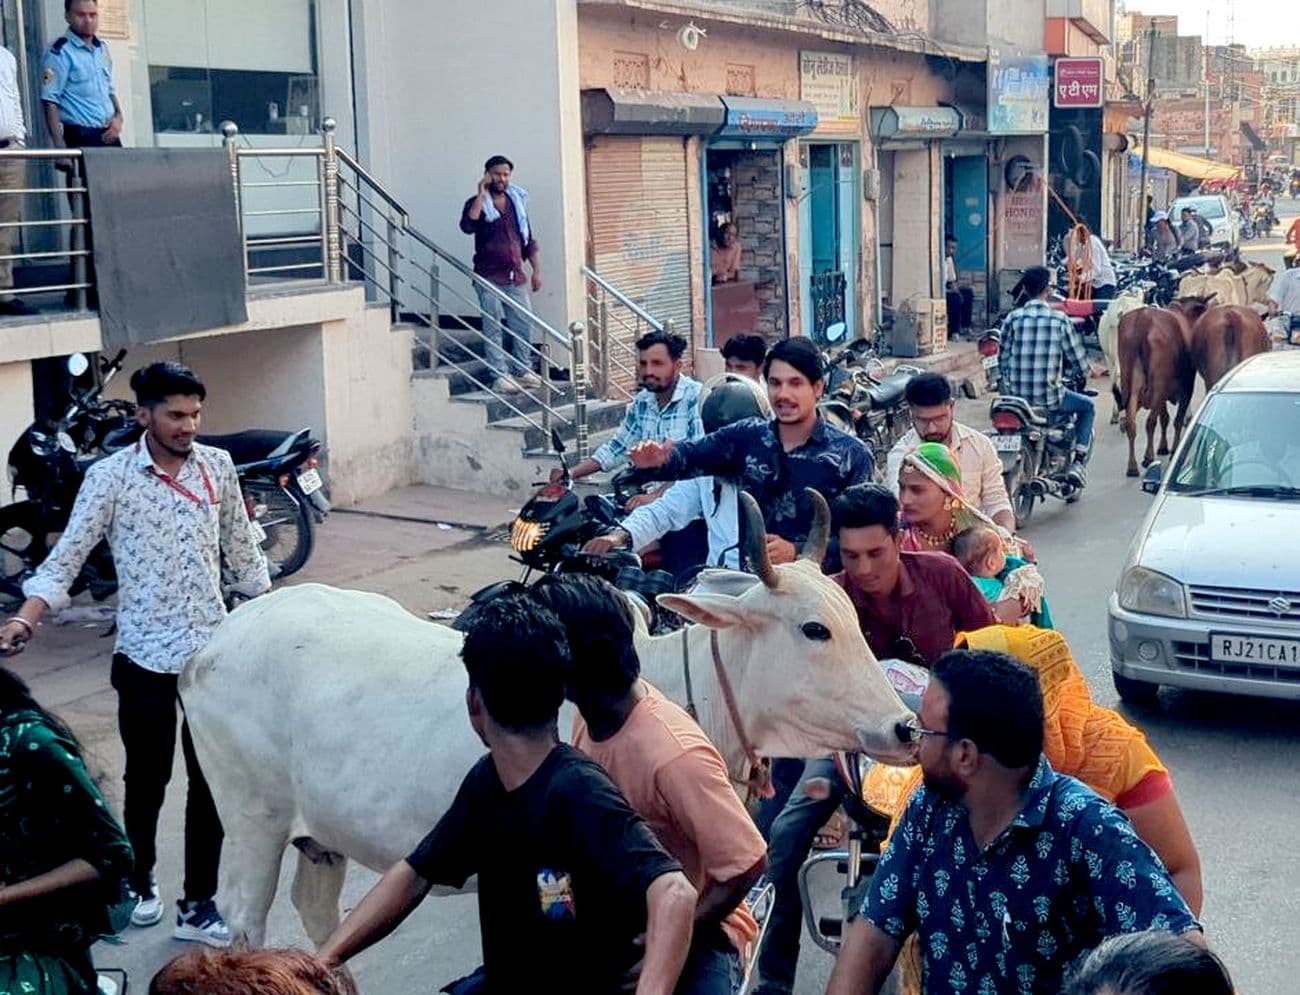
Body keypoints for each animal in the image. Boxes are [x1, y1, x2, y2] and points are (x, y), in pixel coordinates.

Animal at [180, 489, 915, 946]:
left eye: (852, 615)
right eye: (814, 628)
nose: (904, 728)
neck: (669, 685)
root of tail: (209, 647)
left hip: (320, 838)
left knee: (318, 913)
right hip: (253, 825)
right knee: (246, 919)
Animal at [1118, 295, 1216, 478]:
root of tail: (1143, 319)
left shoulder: (1164, 392)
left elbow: (1164, 418)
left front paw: (1163, 446)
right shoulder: (1186, 386)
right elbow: (1177, 419)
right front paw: (1174, 449)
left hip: (1130, 385)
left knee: (1131, 423)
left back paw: (1132, 466)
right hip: (1157, 384)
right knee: (1150, 422)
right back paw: (1148, 457)